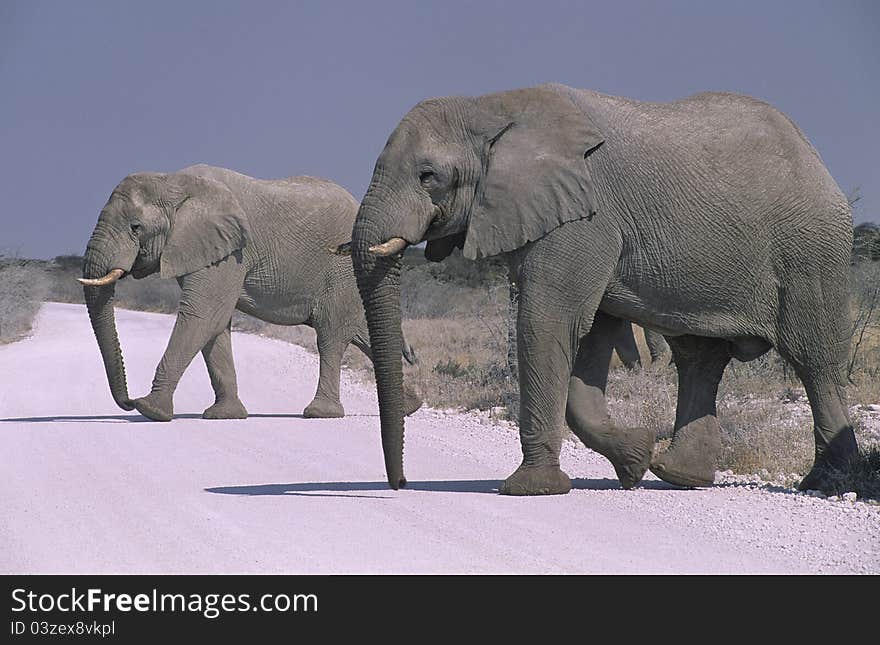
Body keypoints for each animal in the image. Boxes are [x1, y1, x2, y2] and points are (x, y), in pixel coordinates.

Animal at [79, 164, 420, 420]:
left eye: (135, 227)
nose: (127, 401)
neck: (173, 182)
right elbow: (216, 325)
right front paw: (224, 415)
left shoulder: (230, 251)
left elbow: (202, 316)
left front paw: (150, 410)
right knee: (362, 332)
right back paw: (409, 406)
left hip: (342, 268)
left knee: (331, 336)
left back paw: (320, 413)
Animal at [348, 83, 860, 496]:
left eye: (428, 176)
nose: (399, 484)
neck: (491, 106)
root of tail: (816, 159)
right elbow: (590, 334)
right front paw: (634, 460)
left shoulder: (586, 219)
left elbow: (549, 322)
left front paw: (531, 490)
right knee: (699, 357)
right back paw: (678, 475)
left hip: (810, 251)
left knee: (813, 359)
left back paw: (829, 484)